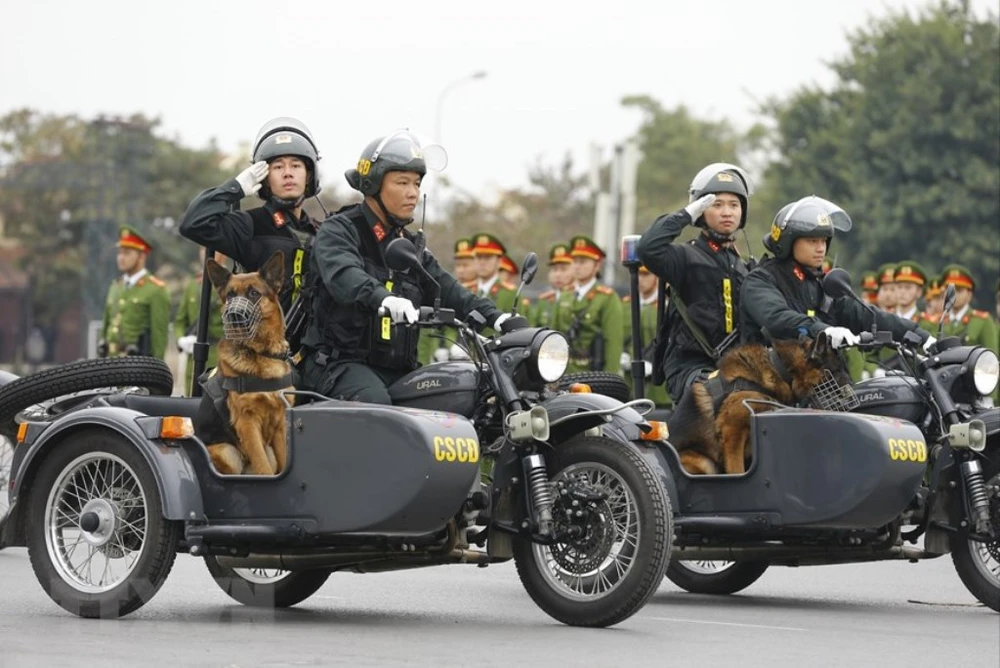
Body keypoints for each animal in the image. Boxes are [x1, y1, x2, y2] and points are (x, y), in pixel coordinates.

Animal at [195, 251, 293, 475]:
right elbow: (264, 468)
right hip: (227, 452)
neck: (261, 352)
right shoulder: (247, 423)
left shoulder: (280, 425)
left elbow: (284, 463)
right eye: (230, 295)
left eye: (254, 293)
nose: (234, 315)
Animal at [667, 334, 853, 475]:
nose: (852, 395)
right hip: (705, 462)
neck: (781, 369)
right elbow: (737, 471)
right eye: (837, 371)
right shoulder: (732, 432)